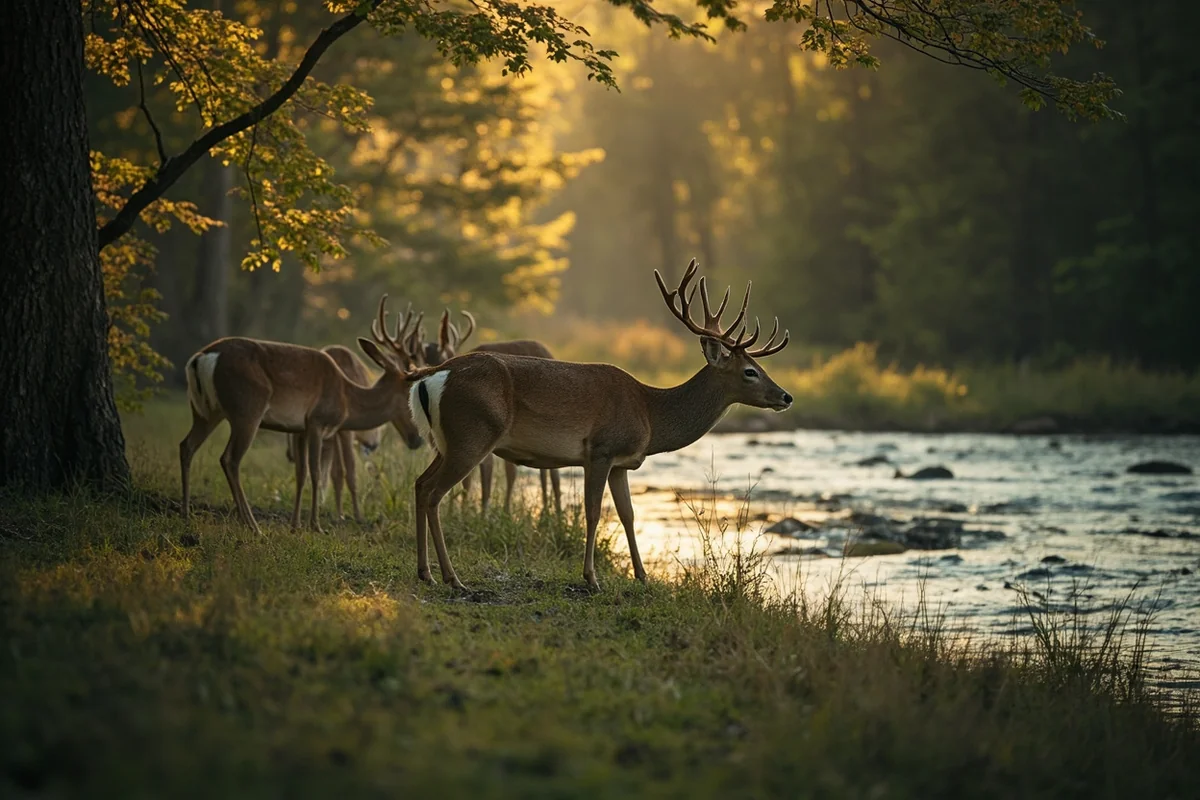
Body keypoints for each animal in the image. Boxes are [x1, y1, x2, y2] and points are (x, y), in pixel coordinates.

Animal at [283, 343, 425, 525]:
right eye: (410, 391)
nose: (417, 439)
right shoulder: (343, 431)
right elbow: (348, 471)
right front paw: (356, 516)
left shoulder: (335, 433)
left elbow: (337, 472)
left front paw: (339, 514)